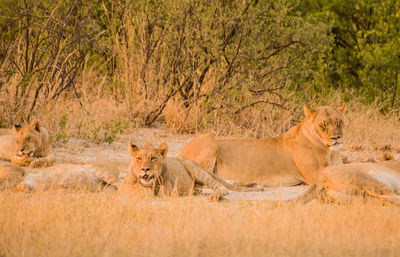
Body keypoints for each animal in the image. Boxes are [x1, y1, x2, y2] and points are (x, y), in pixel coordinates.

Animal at [119, 141, 262, 197]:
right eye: (139, 158)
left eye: (153, 158)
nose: (145, 169)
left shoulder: (170, 190)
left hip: (196, 170)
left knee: (216, 185)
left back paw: (218, 194)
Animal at [180, 104, 346, 186]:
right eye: (323, 125)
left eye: (338, 121)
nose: (336, 138)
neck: (331, 152)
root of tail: (180, 152)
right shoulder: (316, 175)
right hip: (209, 139)